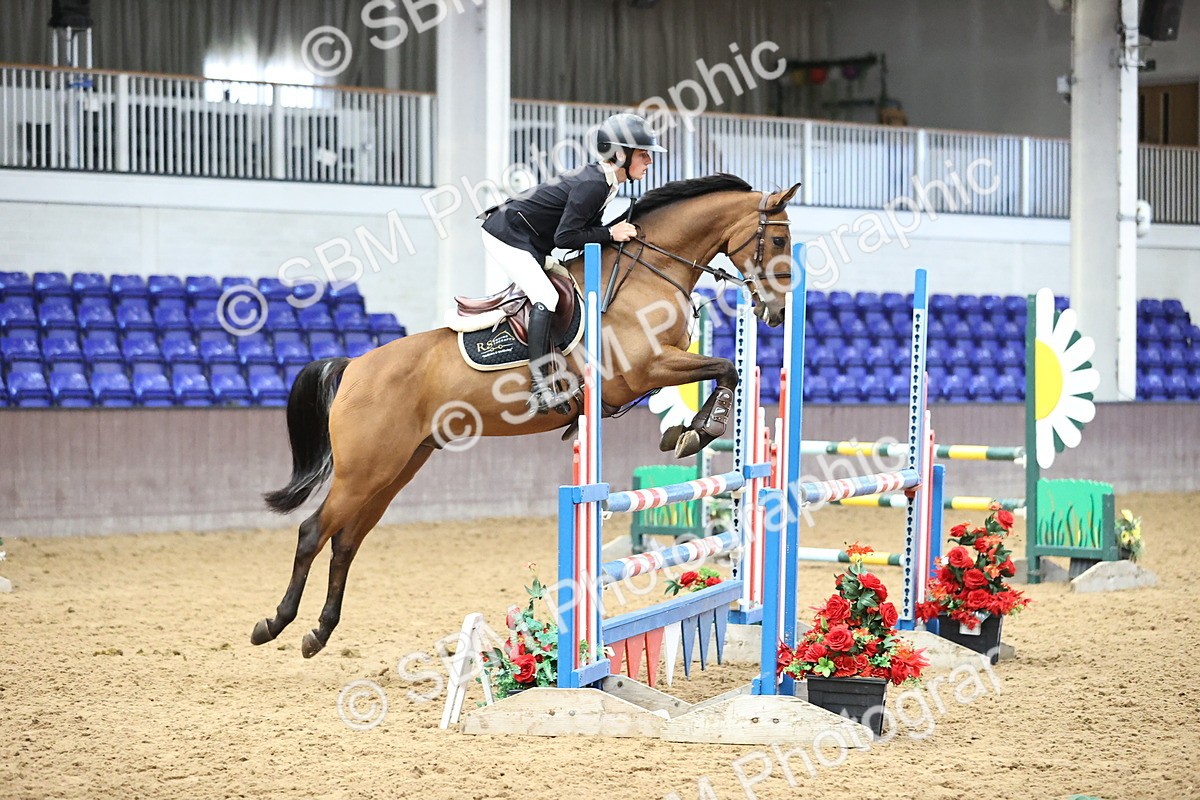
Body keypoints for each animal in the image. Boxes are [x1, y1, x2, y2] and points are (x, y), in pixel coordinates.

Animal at [250, 174, 801, 657]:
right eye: (777, 238)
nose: (776, 312)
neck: (646, 272)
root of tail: (354, 366)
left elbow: (726, 371)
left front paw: (689, 431)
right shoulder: (642, 371)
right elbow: (727, 367)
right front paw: (701, 431)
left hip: (395, 470)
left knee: (345, 542)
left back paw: (319, 632)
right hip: (363, 470)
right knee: (313, 532)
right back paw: (273, 624)